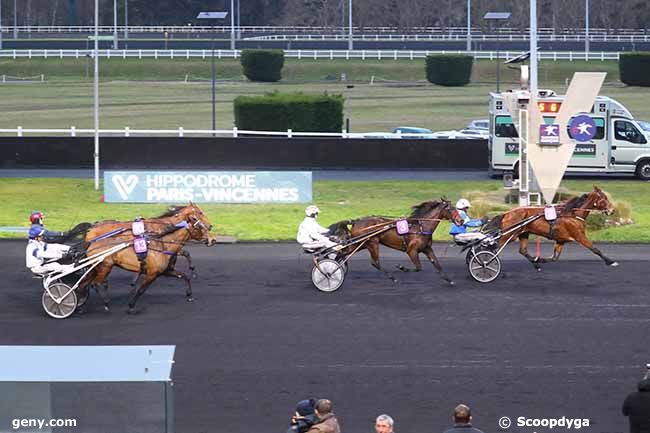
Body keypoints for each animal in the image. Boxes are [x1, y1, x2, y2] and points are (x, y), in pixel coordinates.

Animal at [82, 204, 215, 312]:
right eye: (200, 213)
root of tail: (91, 228)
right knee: (96, 282)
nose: (210, 227)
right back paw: (104, 301)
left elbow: (184, 261)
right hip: (104, 265)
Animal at [326, 198, 454, 284]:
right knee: (375, 262)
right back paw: (393, 277)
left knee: (342, 253)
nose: (458, 220)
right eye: (451, 209)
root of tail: (356, 221)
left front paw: (449, 280)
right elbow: (418, 267)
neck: (420, 227)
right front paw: (400, 267)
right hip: (372, 243)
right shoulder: (411, 251)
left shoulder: (427, 248)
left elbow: (436, 263)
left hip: (361, 243)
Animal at [484, 186, 616, 270]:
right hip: (509, 234)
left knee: (523, 250)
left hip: (523, 233)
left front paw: (539, 260)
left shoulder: (561, 240)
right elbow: (595, 249)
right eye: (604, 198)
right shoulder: (579, 236)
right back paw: (486, 261)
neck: (572, 214)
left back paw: (536, 265)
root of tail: (506, 213)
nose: (612, 210)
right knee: (494, 247)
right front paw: (611, 261)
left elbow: (554, 258)